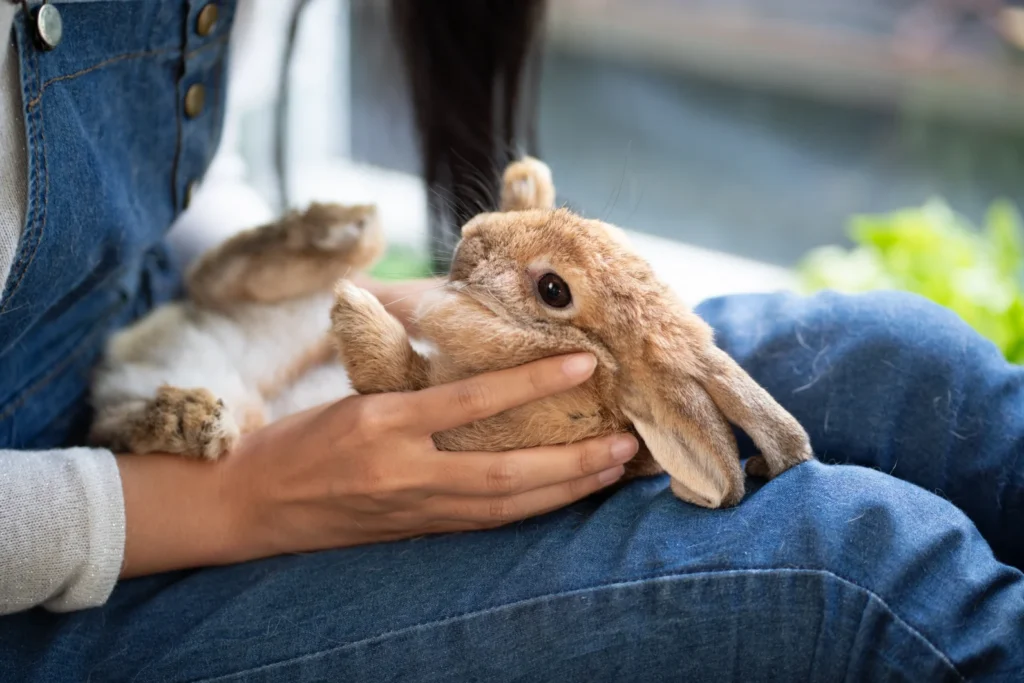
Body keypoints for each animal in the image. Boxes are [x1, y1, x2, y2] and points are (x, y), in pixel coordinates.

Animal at [89, 156, 813, 508]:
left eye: (554, 290)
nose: (471, 235)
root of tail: (123, 366)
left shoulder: (450, 423)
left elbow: (392, 373)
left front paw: (356, 310)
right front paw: (526, 179)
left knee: (128, 423)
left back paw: (192, 416)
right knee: (223, 275)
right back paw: (340, 230)